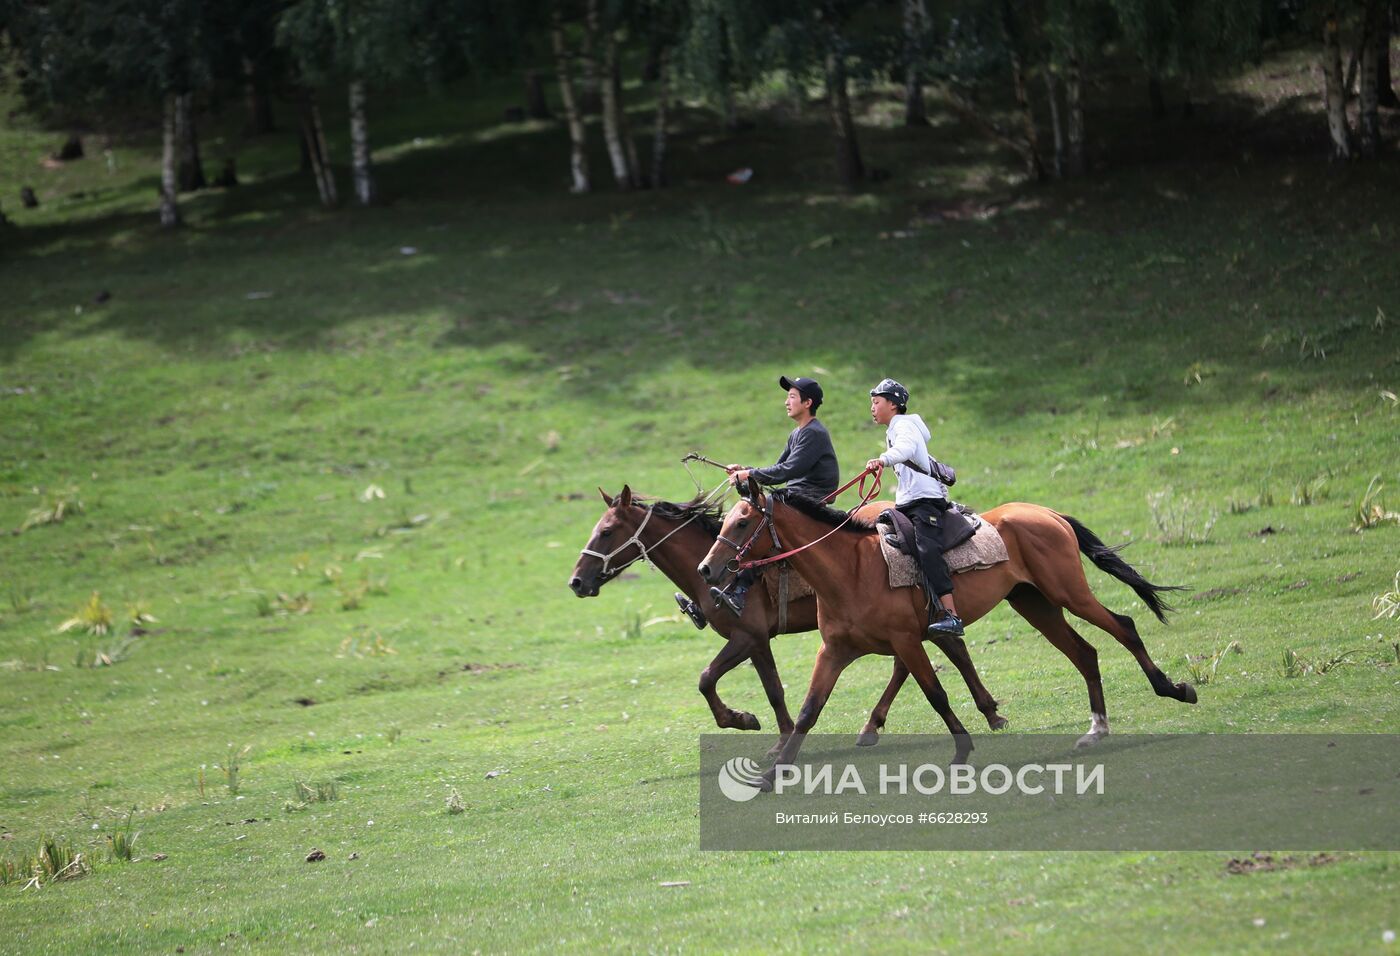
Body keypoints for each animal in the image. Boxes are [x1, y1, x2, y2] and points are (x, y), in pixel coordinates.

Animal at [697, 487, 1192, 772]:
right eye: (725, 520)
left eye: (743, 521)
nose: (706, 569)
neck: (850, 570)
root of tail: (1047, 513)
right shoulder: (834, 651)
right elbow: (807, 711)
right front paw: (773, 773)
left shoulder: (906, 641)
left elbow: (935, 694)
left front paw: (962, 750)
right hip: (1036, 604)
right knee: (1086, 653)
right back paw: (1096, 730)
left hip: (1069, 593)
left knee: (1124, 627)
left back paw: (1172, 689)